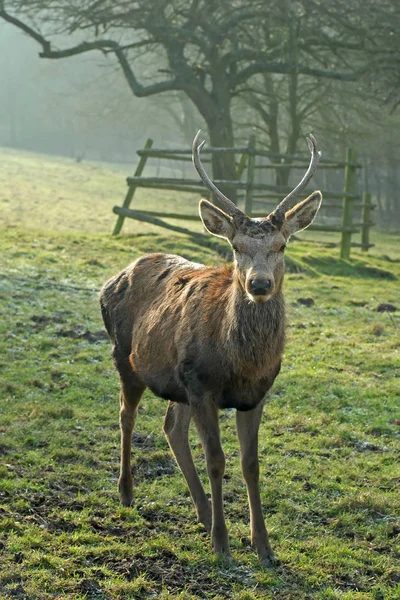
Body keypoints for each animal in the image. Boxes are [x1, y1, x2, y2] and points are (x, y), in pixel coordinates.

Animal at [99, 129, 322, 564]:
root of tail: (111, 279)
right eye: (235, 247)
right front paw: (222, 543)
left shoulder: (255, 395)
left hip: (178, 381)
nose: (259, 283)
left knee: (171, 427)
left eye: (282, 246)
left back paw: (201, 512)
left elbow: (251, 463)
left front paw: (263, 546)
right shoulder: (203, 386)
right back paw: (127, 492)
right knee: (126, 416)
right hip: (128, 359)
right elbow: (216, 460)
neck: (243, 364)